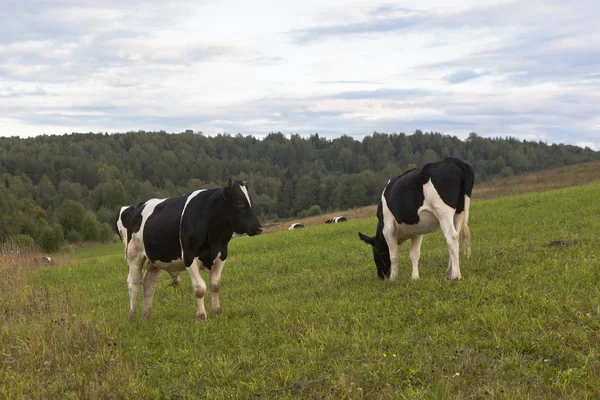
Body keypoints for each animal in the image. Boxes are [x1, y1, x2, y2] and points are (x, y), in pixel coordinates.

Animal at [125, 179, 262, 322]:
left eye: (251, 202)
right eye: (239, 202)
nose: (258, 227)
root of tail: (138, 206)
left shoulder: (222, 255)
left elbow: (215, 285)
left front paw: (216, 311)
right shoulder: (189, 257)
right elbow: (200, 288)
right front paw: (201, 317)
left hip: (156, 259)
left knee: (149, 284)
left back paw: (147, 315)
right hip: (134, 255)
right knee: (134, 283)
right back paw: (132, 316)